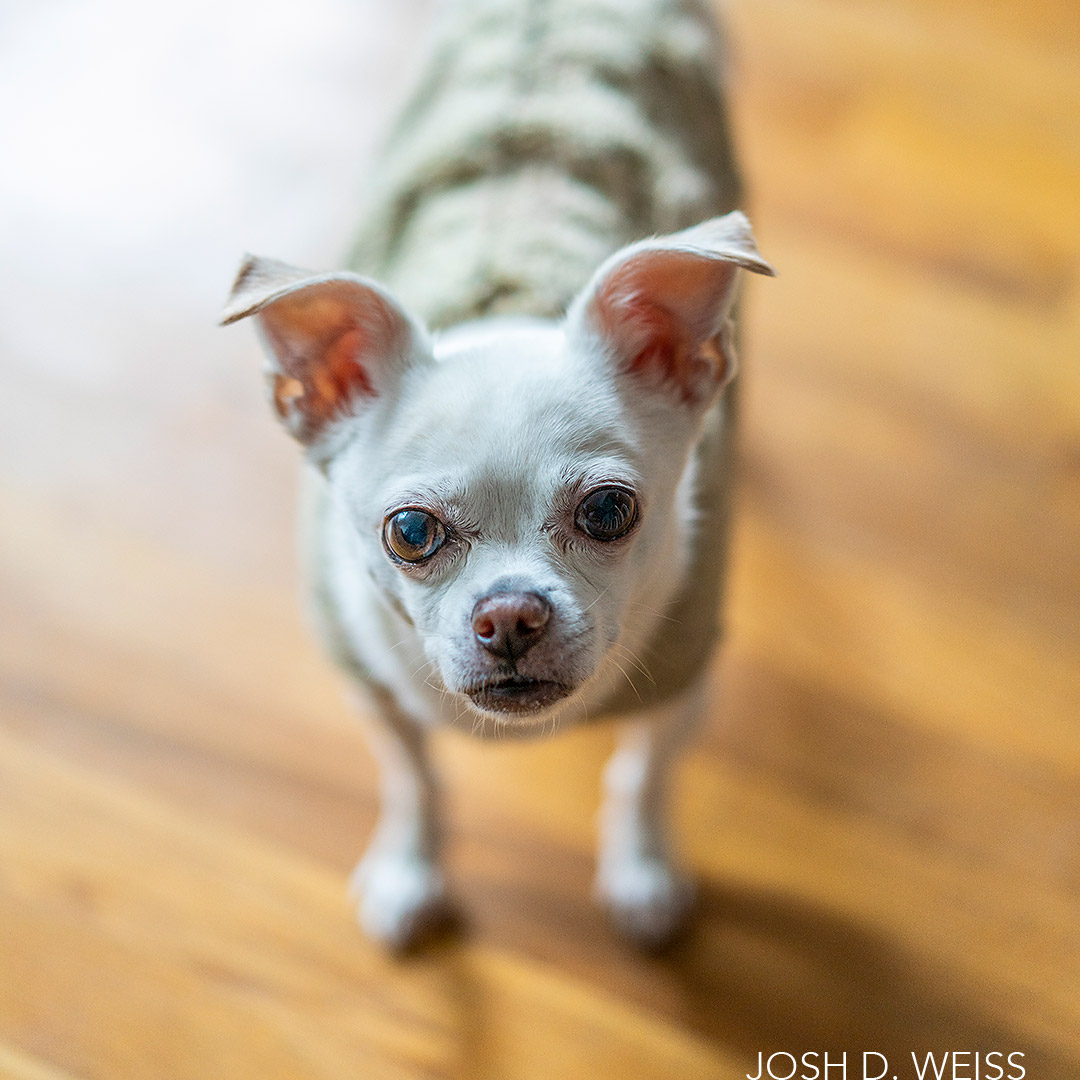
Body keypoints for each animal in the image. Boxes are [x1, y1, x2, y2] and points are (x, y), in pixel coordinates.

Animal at [222, 0, 773, 949]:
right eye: (410, 533)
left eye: (609, 513)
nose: (510, 614)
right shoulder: (376, 695)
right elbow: (412, 778)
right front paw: (411, 867)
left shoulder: (684, 678)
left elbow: (647, 775)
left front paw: (643, 867)